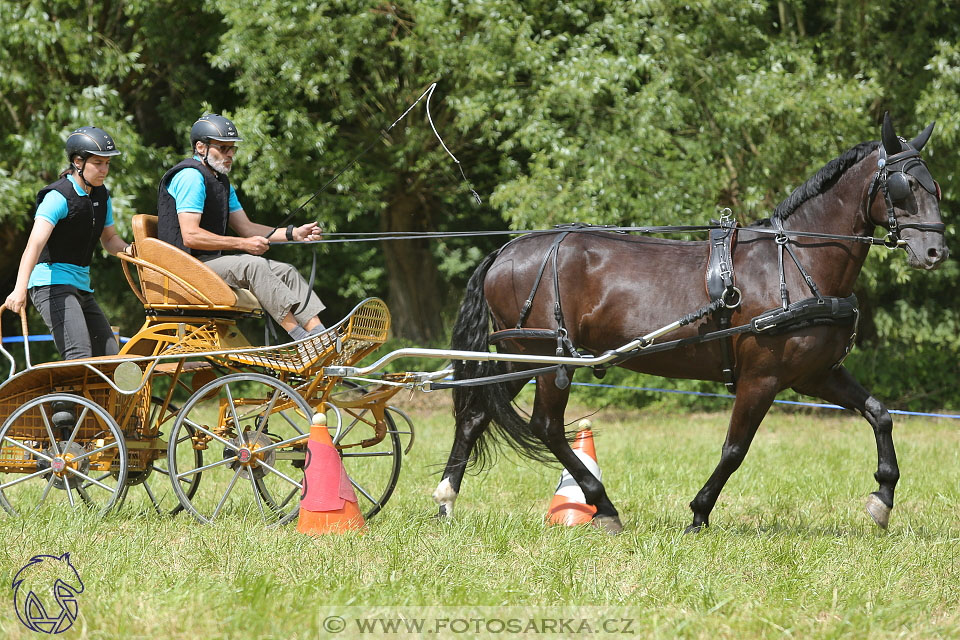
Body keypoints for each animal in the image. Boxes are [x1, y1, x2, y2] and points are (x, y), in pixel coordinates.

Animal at [438, 116, 948, 536]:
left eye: (936, 187)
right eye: (903, 187)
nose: (935, 253)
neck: (794, 262)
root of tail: (506, 250)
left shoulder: (815, 374)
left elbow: (880, 413)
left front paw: (883, 498)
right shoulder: (762, 377)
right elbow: (734, 449)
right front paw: (700, 512)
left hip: (521, 356)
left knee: (477, 415)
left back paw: (446, 499)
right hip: (545, 356)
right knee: (545, 425)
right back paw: (604, 507)